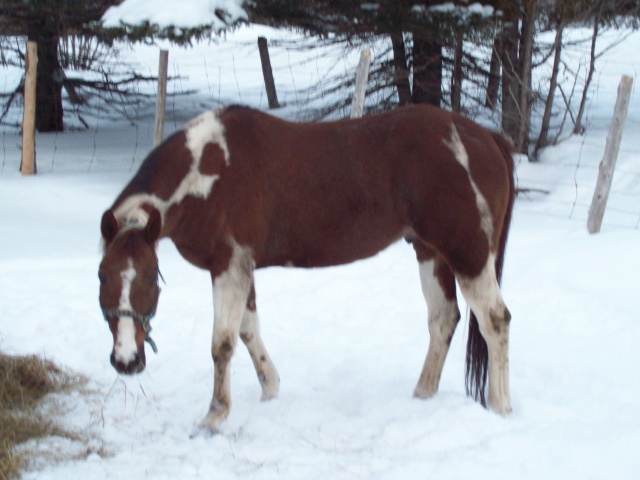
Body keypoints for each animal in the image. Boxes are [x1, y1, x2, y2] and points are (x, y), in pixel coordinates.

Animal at [101, 104, 520, 432]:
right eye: (102, 275)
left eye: (151, 279)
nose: (126, 362)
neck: (210, 169)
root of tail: (485, 137)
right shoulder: (240, 267)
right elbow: (249, 330)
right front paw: (270, 388)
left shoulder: (230, 265)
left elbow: (223, 343)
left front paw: (214, 416)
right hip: (429, 252)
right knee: (443, 319)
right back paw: (423, 394)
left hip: (469, 254)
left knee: (494, 320)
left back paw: (500, 406)